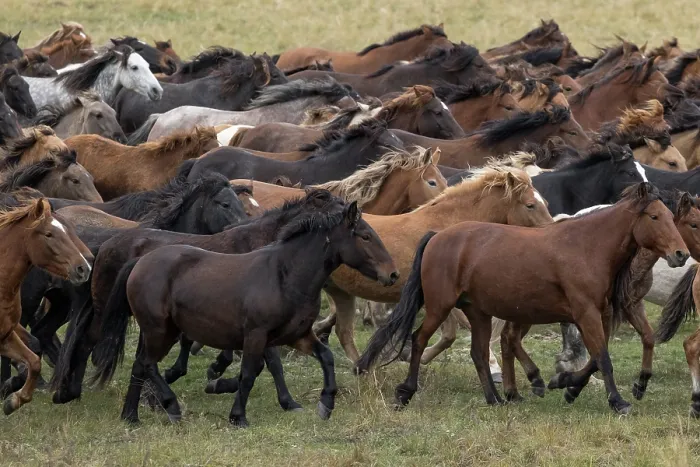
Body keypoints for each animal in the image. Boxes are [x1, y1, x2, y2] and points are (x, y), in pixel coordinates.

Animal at [356, 183, 688, 415]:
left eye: (672, 218)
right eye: (655, 216)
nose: (681, 254)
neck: (587, 247)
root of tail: (437, 236)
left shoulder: (601, 314)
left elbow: (596, 358)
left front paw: (565, 386)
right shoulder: (586, 314)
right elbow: (603, 359)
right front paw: (618, 402)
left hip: (478, 313)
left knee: (478, 353)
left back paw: (495, 399)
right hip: (440, 306)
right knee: (419, 340)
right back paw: (405, 393)